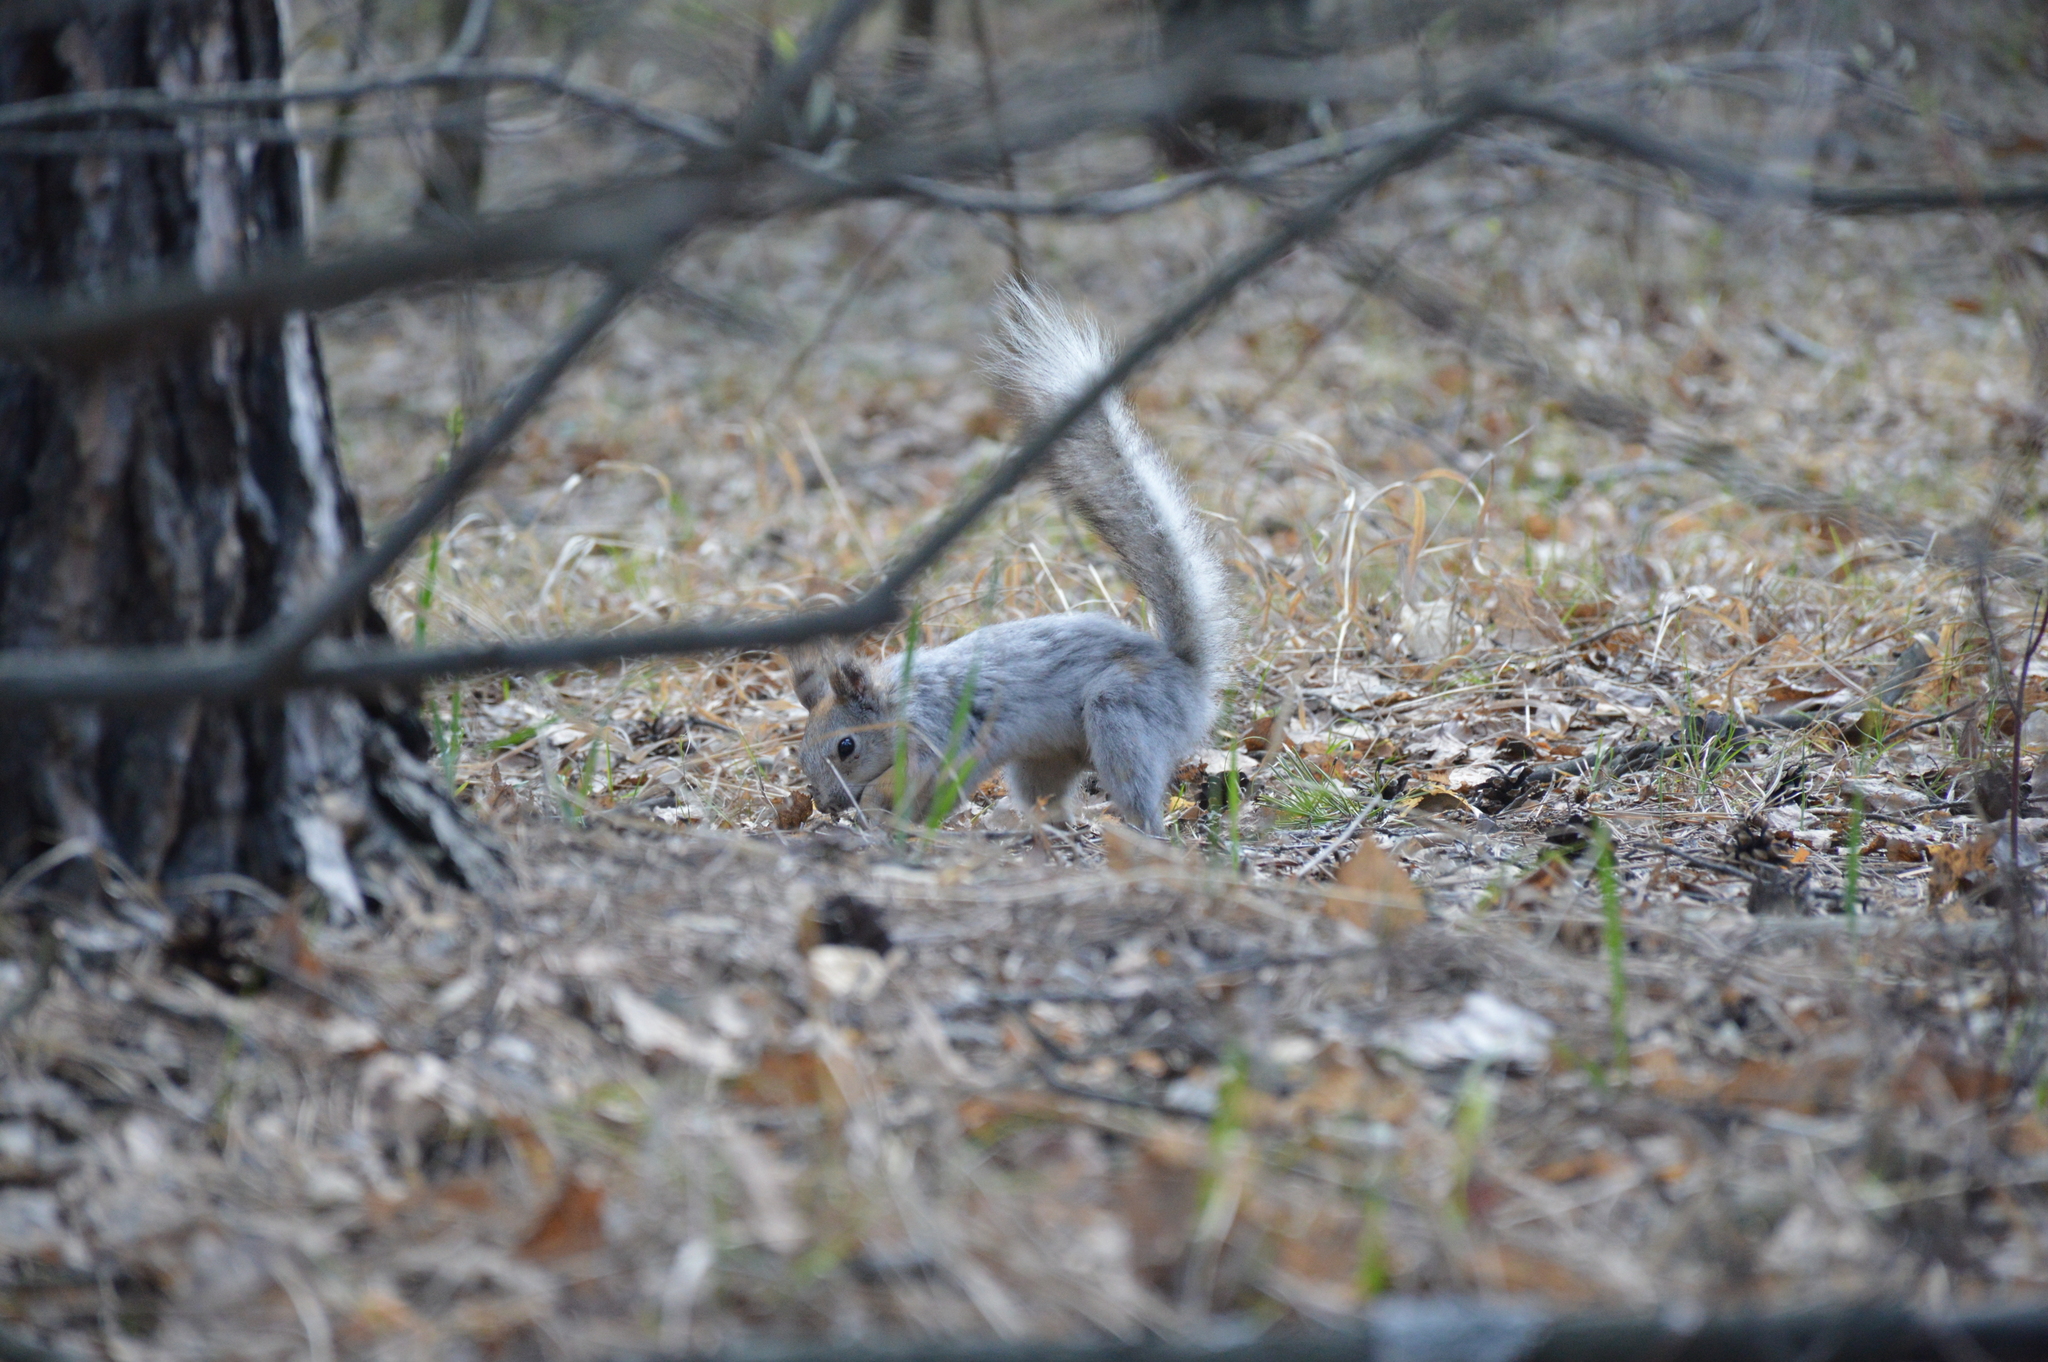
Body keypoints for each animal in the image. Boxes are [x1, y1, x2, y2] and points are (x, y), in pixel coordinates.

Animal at [782, 282, 1228, 835]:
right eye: (801, 749)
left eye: (846, 746)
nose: (825, 804)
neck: (899, 699)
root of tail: (1190, 679)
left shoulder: (937, 734)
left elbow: (911, 780)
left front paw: (879, 814)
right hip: (1044, 759)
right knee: (1049, 800)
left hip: (1123, 716)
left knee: (1137, 791)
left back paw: (1138, 836)